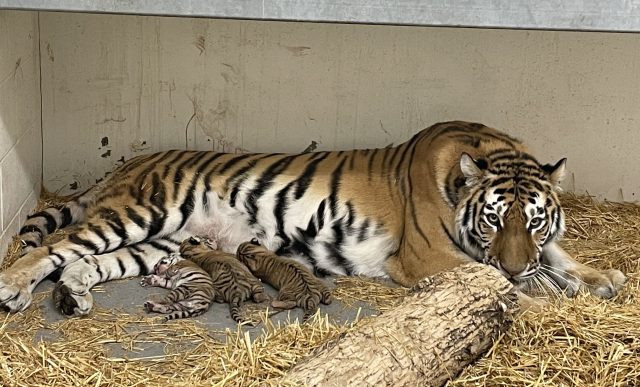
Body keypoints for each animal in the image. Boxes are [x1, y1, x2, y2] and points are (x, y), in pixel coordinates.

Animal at [0, 121, 624, 316]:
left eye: (533, 221)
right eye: (493, 221)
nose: (517, 264)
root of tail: (130, 163)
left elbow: (560, 256)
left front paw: (600, 278)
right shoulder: (429, 255)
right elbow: (503, 285)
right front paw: (541, 300)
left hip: (168, 242)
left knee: (87, 262)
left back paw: (75, 295)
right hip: (142, 211)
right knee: (51, 249)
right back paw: (14, 288)